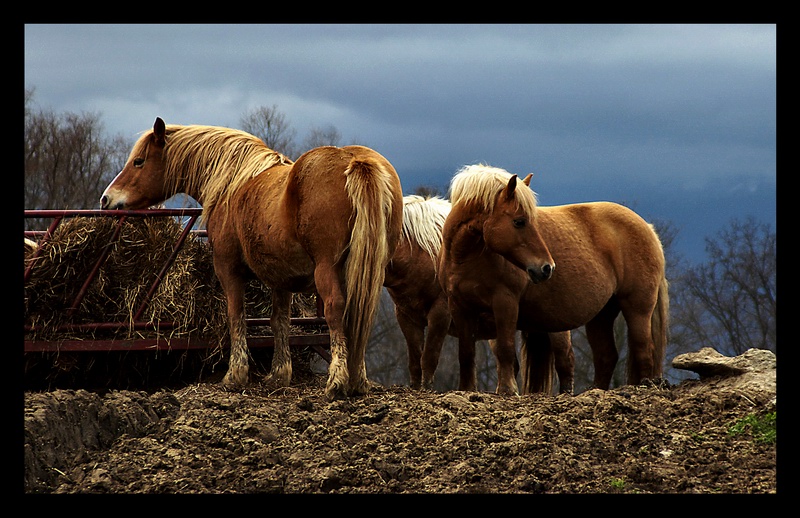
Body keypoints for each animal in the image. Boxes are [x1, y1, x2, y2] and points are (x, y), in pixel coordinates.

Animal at [101, 118, 404, 402]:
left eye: (139, 161)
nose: (106, 199)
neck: (232, 186)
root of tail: (355, 161)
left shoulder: (228, 270)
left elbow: (237, 316)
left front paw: (235, 375)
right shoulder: (281, 278)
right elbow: (279, 320)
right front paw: (279, 374)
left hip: (327, 269)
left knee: (335, 309)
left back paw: (337, 381)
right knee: (359, 313)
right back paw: (358, 381)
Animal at [382, 195, 576, 394]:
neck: (422, 253)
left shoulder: (440, 313)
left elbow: (429, 357)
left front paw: (427, 389)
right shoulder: (406, 316)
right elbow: (415, 360)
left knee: (565, 362)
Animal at [438, 165, 668, 396]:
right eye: (519, 221)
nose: (547, 268)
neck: (467, 257)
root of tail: (648, 229)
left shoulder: (505, 303)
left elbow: (505, 348)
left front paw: (508, 390)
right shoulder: (460, 307)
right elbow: (466, 353)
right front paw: (466, 390)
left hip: (637, 309)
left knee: (643, 351)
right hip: (601, 315)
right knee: (606, 356)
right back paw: (595, 392)